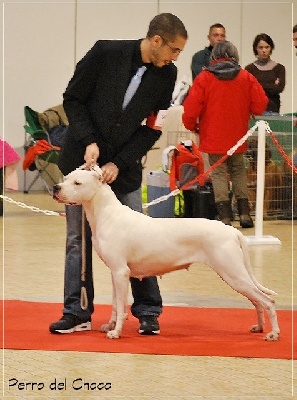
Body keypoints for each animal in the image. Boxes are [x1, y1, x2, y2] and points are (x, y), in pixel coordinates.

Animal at [53, 165, 280, 340]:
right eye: (66, 178)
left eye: (77, 183)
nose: (56, 188)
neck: (106, 214)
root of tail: (232, 231)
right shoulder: (115, 273)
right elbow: (115, 304)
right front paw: (110, 325)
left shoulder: (120, 272)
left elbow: (121, 306)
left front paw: (116, 332)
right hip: (236, 275)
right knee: (257, 301)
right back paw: (259, 327)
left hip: (232, 273)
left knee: (266, 301)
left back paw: (273, 334)